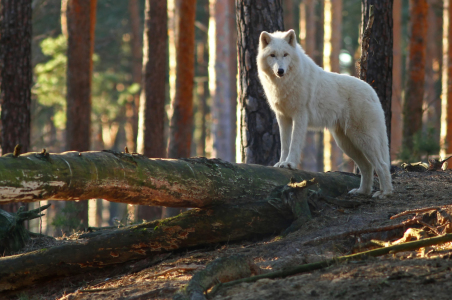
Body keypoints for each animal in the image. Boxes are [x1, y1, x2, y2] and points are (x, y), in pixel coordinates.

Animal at [258, 29, 392, 199]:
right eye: (273, 55)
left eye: (285, 55)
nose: (280, 71)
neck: (285, 83)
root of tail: (372, 91)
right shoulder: (283, 118)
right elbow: (285, 144)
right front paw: (281, 163)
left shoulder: (300, 116)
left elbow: (294, 143)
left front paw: (290, 164)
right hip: (346, 143)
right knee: (367, 166)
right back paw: (362, 191)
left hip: (363, 139)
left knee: (382, 164)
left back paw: (385, 193)